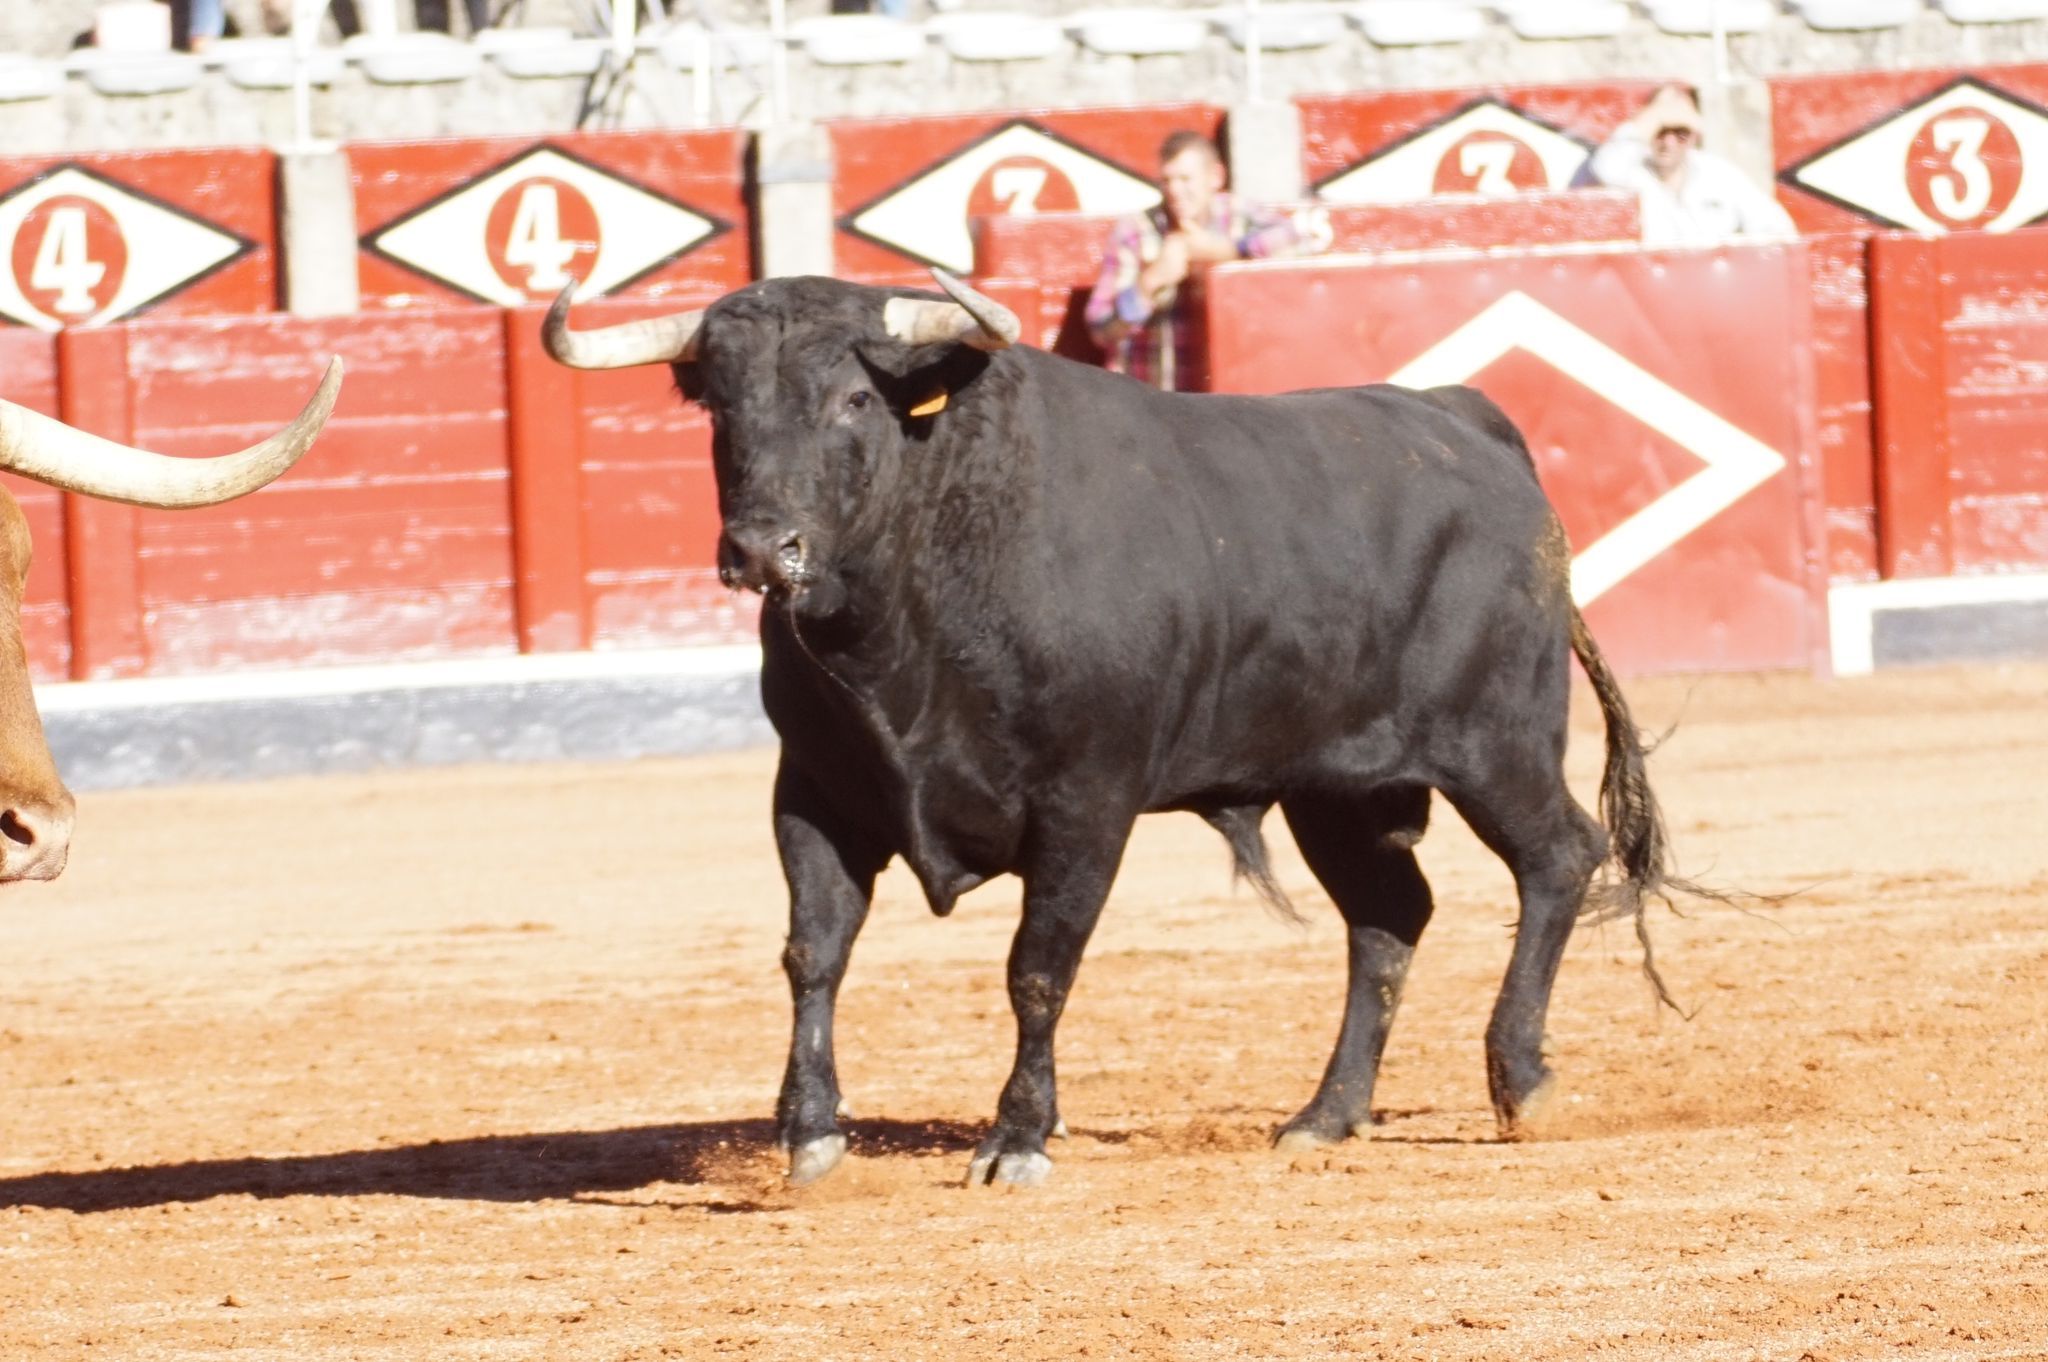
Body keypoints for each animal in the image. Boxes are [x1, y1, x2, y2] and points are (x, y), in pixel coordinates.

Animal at [544, 270, 1695, 1187]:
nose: (759, 549)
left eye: (852, 398)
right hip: (1339, 786)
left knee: (1558, 857)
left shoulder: (1086, 803)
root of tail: (1465, 421)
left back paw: (1521, 1081)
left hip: (1496, 742)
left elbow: (1037, 967)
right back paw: (1323, 1117)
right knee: (1386, 919)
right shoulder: (817, 794)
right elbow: (813, 954)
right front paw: (812, 1134)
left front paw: (1015, 1141)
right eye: (720, 408)